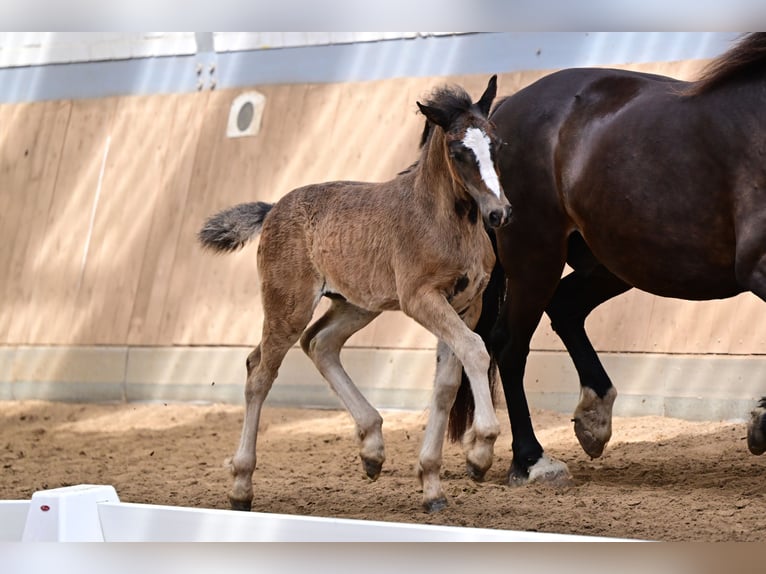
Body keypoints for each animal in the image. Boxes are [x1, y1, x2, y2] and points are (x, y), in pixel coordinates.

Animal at [200, 75, 510, 512]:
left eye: (495, 144)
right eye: (457, 150)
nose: (500, 213)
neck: (447, 222)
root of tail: (273, 207)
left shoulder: (467, 303)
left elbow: (447, 383)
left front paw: (433, 484)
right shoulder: (420, 299)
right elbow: (476, 350)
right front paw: (481, 450)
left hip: (357, 304)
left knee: (319, 343)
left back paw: (372, 449)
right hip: (288, 306)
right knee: (260, 371)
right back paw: (241, 486)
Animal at [450, 33, 766, 486]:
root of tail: (503, 110)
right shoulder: (759, 266)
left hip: (613, 261)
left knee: (564, 308)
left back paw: (590, 420)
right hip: (536, 255)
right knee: (509, 342)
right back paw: (532, 460)